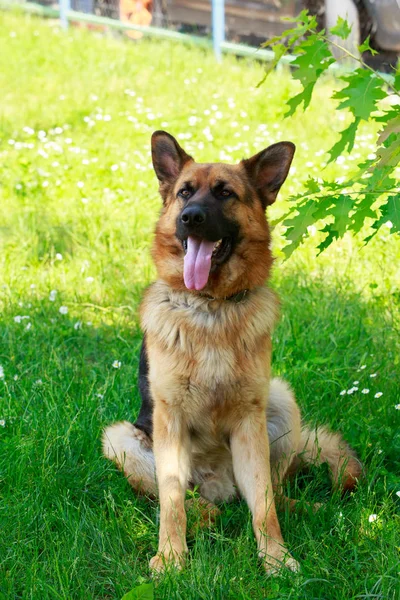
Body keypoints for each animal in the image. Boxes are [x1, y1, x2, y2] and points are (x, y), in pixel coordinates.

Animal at [103, 130, 362, 572]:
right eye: (185, 192)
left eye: (225, 193)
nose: (190, 216)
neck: (211, 306)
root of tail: (221, 489)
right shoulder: (168, 420)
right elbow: (171, 501)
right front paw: (171, 558)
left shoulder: (248, 422)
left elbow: (264, 505)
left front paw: (276, 558)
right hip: (121, 438)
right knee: (184, 499)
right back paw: (206, 515)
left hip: (279, 400)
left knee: (270, 492)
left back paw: (306, 510)